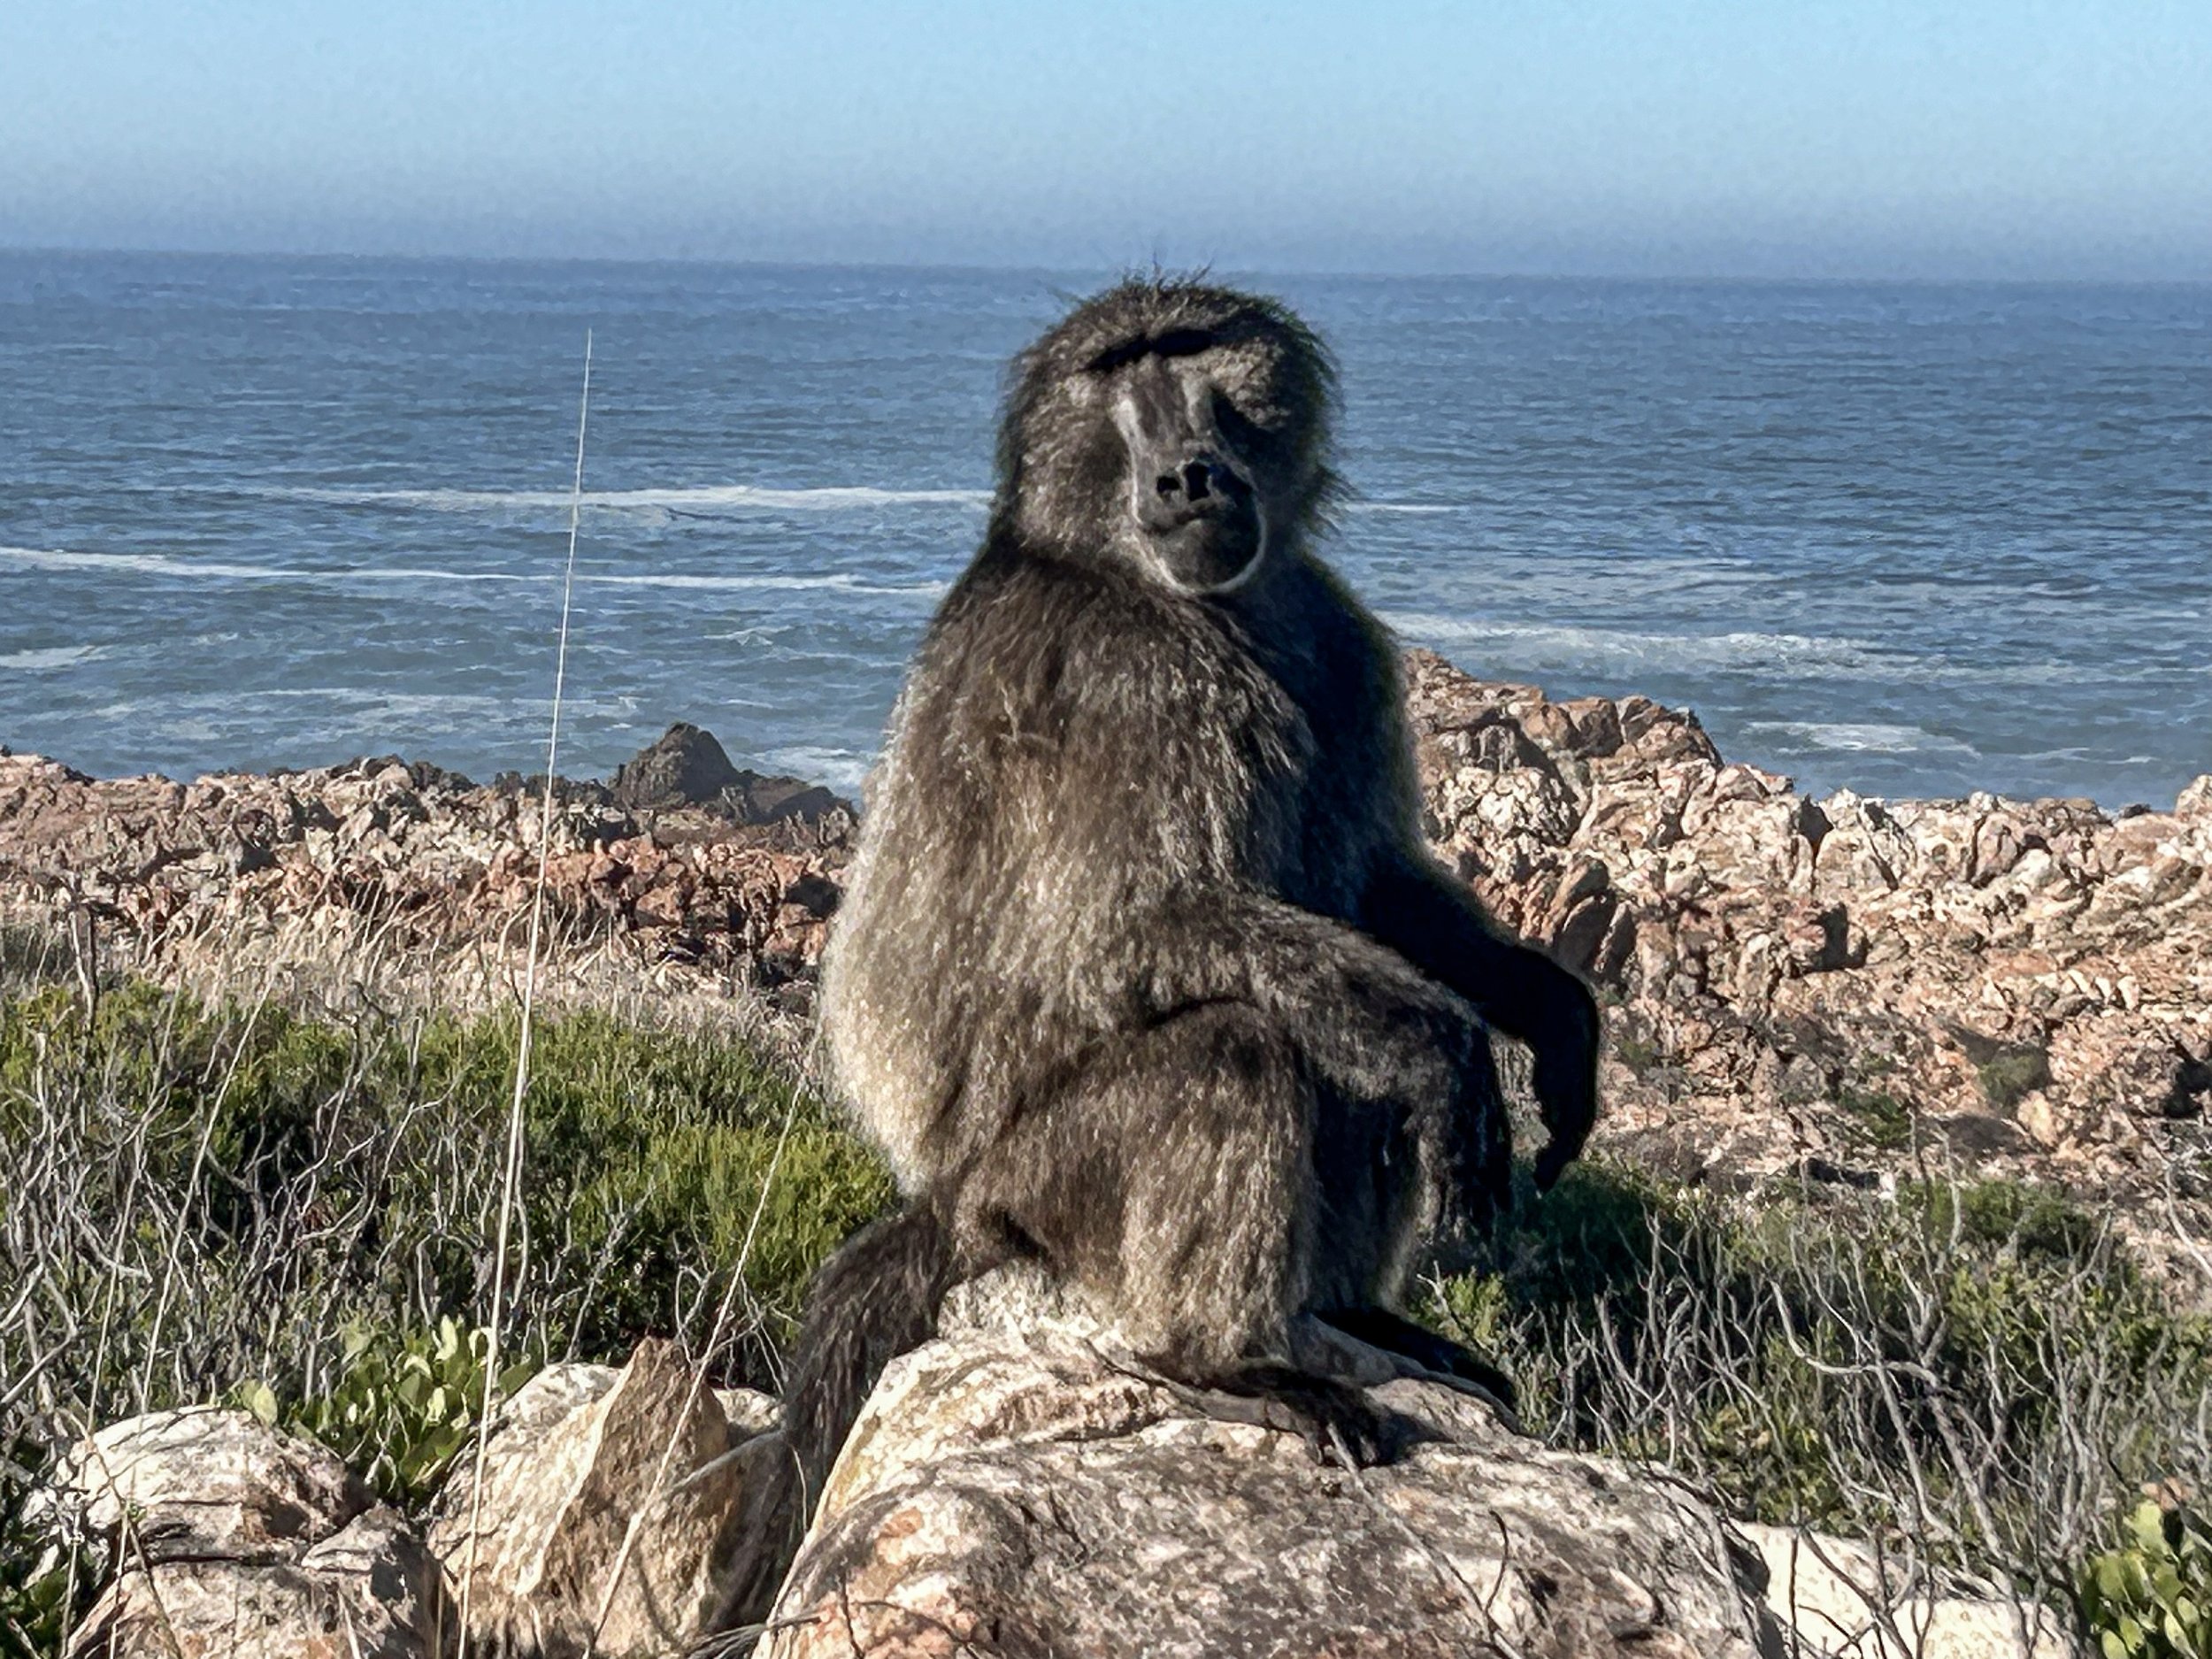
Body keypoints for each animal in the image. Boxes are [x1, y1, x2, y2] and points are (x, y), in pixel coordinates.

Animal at [719, 277, 1599, 1625]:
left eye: (1194, 355)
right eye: (1119, 371)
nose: (1188, 472)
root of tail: (946, 1193)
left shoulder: (1336, 634)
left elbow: (1375, 883)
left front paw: (1551, 1016)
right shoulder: (1133, 676)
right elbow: (1135, 926)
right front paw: (1453, 1052)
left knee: (1334, 1051)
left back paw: (1352, 1313)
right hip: (1039, 1183)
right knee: (1238, 1048)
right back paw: (1229, 1359)